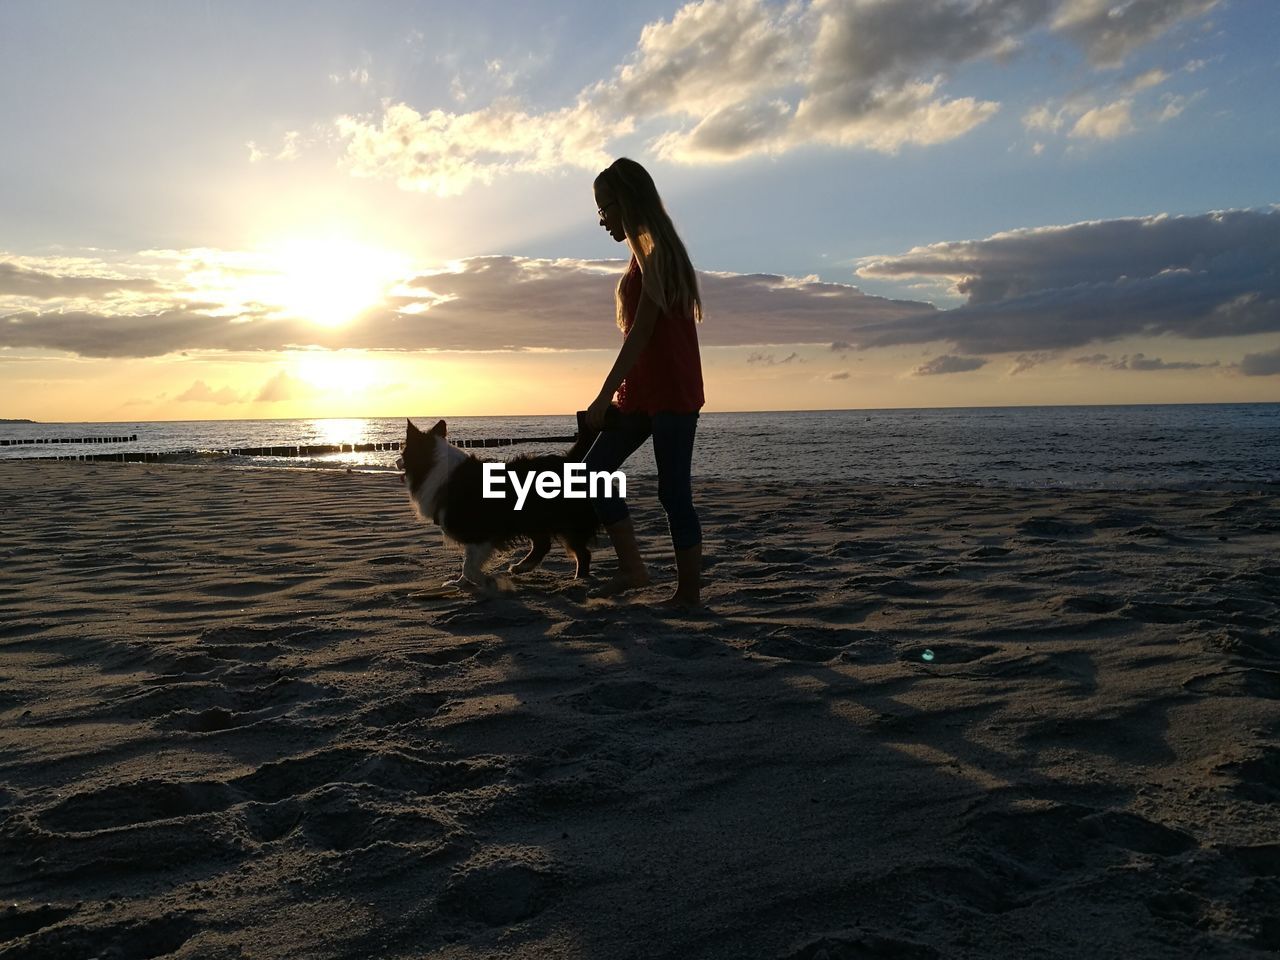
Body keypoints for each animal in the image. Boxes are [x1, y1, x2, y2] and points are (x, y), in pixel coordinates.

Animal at [399, 419, 599, 586]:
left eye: (403, 450)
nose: (396, 461)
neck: (433, 465)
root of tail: (572, 462)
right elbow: (467, 564)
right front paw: (460, 583)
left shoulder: (480, 532)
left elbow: (469, 567)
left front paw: (485, 581)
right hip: (531, 519)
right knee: (543, 545)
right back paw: (521, 567)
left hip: (561, 520)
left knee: (582, 553)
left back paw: (579, 579)